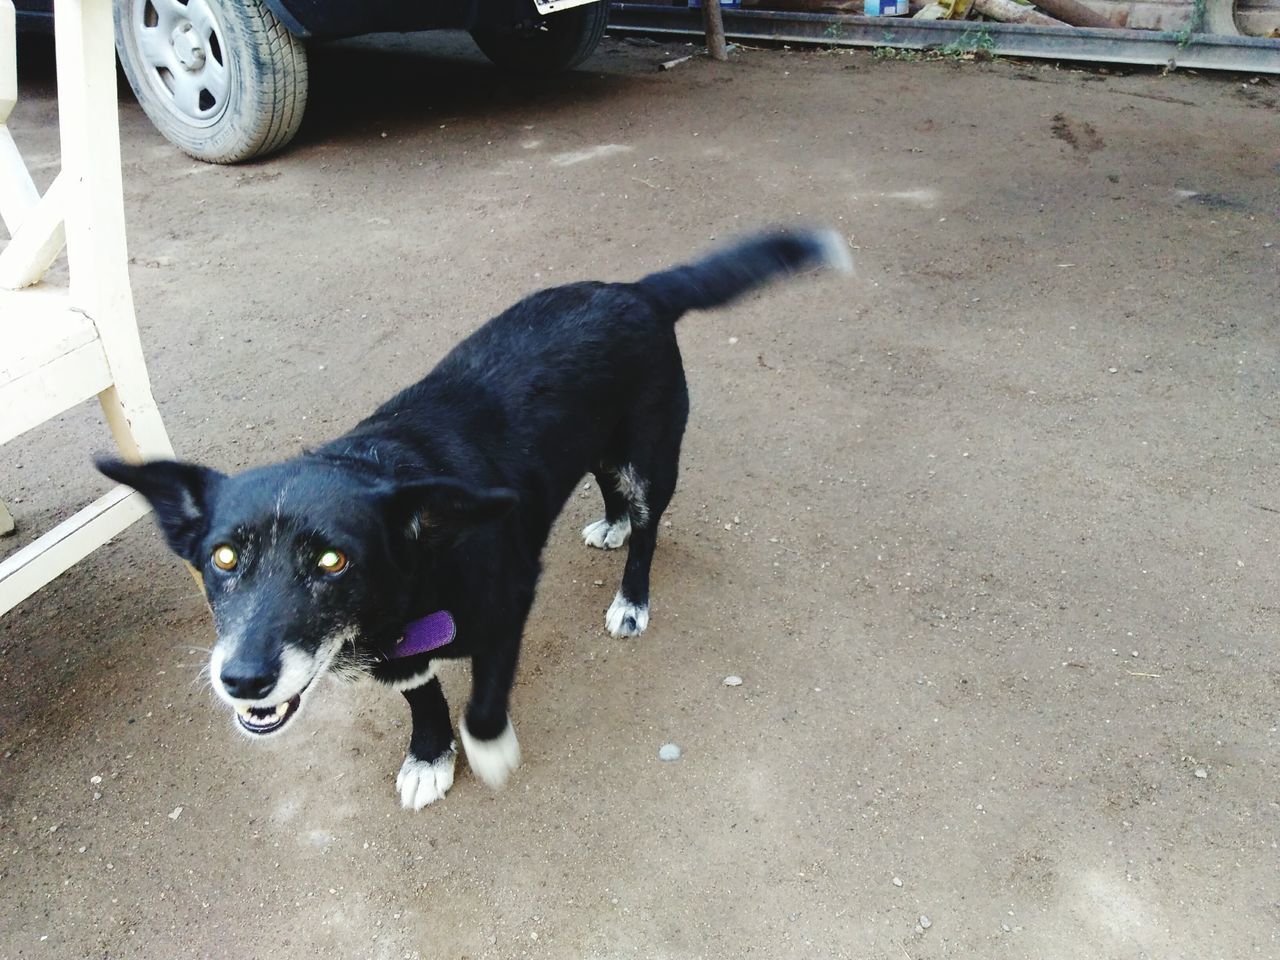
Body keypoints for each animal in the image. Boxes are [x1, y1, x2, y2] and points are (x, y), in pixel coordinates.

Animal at [99, 229, 849, 808]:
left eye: (333, 561)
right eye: (223, 559)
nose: (243, 680)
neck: (408, 588)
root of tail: (635, 289)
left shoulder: (507, 607)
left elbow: (483, 698)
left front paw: (486, 751)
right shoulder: (404, 658)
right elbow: (423, 696)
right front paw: (430, 757)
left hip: (650, 454)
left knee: (648, 527)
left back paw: (631, 597)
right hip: (598, 441)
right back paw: (609, 525)